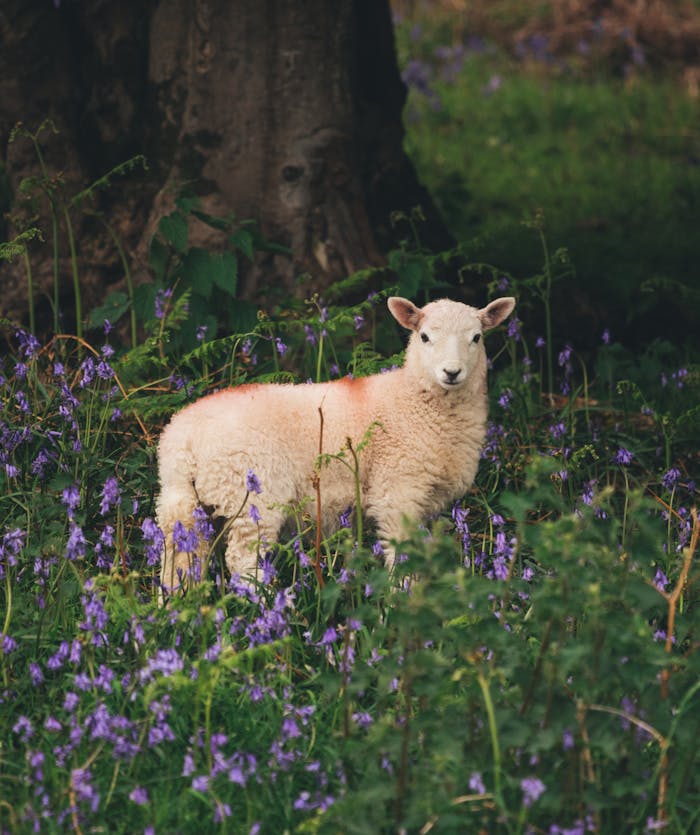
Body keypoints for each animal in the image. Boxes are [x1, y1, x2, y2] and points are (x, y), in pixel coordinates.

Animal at [156, 295, 515, 593]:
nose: (451, 372)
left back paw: (176, 604)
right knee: (243, 561)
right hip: (252, 495)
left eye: (477, 337)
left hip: (187, 499)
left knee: (180, 554)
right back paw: (265, 607)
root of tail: (183, 439)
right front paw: (404, 598)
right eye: (425, 337)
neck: (413, 400)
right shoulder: (397, 489)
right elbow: (401, 551)